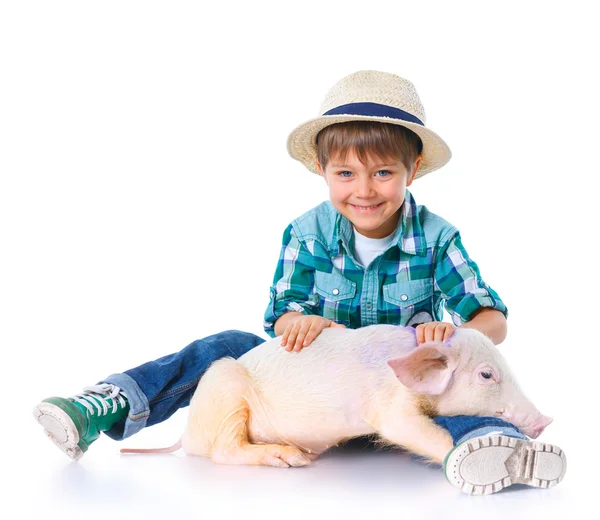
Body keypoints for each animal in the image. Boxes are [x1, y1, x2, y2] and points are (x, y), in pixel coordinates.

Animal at [120, 324, 552, 468]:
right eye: (486, 374)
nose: (546, 420)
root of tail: (186, 434)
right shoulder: (389, 405)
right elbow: (413, 430)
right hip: (225, 391)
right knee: (225, 450)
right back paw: (292, 460)